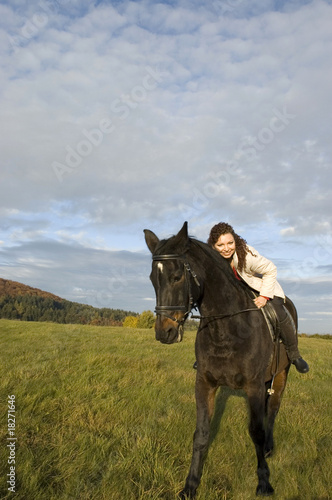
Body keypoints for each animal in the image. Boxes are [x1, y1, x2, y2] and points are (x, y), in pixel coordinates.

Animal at [144, 224, 294, 500]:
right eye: (152, 279)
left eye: (177, 277)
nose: (164, 332)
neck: (227, 328)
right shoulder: (204, 383)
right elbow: (201, 434)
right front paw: (190, 485)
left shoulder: (253, 386)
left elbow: (256, 431)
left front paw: (264, 481)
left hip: (281, 375)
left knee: (273, 410)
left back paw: (269, 447)